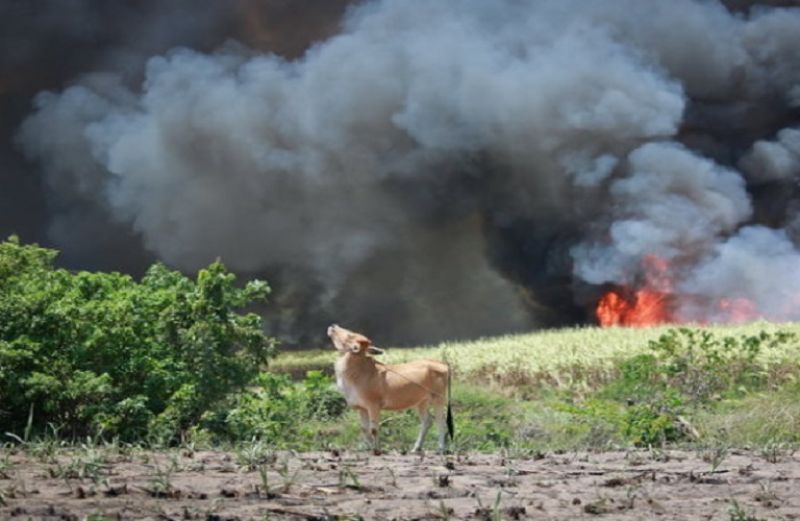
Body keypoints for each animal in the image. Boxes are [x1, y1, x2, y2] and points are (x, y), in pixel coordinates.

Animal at [328, 322, 454, 452]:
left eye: (350, 335)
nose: (333, 326)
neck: (358, 372)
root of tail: (443, 364)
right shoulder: (361, 408)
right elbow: (364, 429)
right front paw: (366, 448)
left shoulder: (373, 406)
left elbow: (374, 429)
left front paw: (376, 449)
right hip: (421, 402)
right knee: (427, 421)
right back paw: (416, 448)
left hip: (438, 398)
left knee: (441, 421)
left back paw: (441, 448)